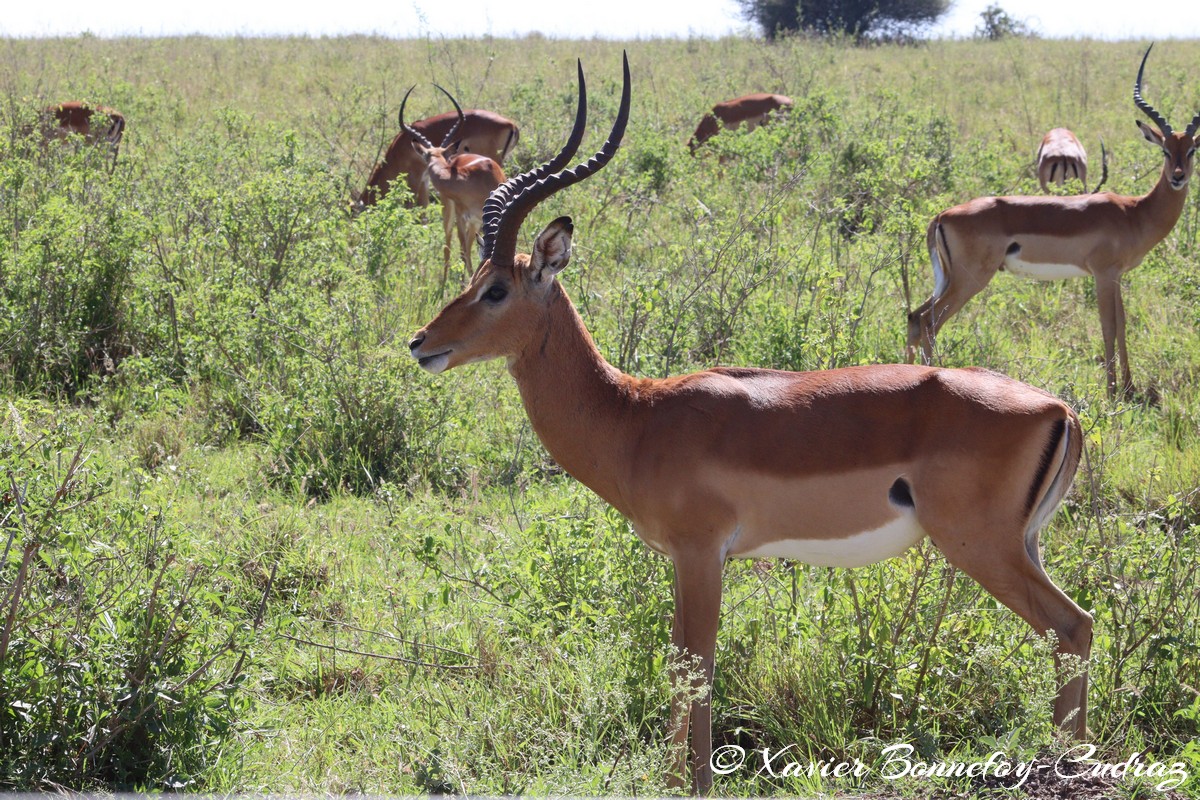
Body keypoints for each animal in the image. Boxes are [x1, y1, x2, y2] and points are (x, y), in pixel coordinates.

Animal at [401, 85, 506, 285]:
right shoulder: (462, 213)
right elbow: (464, 248)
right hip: (455, 213)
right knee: (451, 240)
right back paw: (445, 280)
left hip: (469, 218)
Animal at [908, 45, 1197, 399]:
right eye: (1166, 151)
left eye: (1192, 150)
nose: (1178, 178)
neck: (1134, 212)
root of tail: (942, 215)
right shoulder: (1103, 274)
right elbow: (1108, 326)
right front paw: (1112, 391)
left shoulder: (1116, 276)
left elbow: (1123, 324)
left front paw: (1130, 388)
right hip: (969, 280)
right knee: (930, 322)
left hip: (951, 279)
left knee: (915, 316)